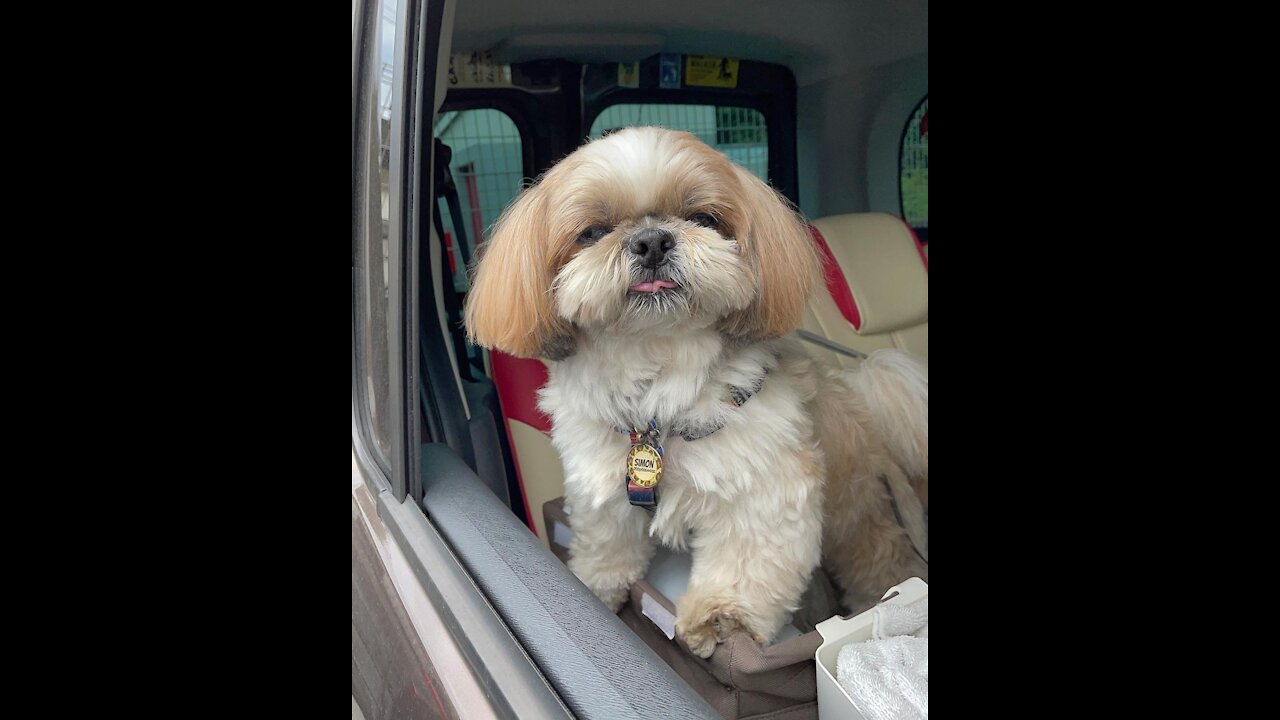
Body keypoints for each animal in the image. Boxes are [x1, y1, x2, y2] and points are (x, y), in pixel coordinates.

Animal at [465, 127, 926, 655]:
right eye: (593, 232)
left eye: (704, 218)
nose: (651, 241)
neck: (658, 369)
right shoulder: (602, 475)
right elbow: (607, 540)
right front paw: (594, 582)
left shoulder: (763, 482)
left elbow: (744, 563)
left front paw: (722, 616)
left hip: (855, 511)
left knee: (879, 558)